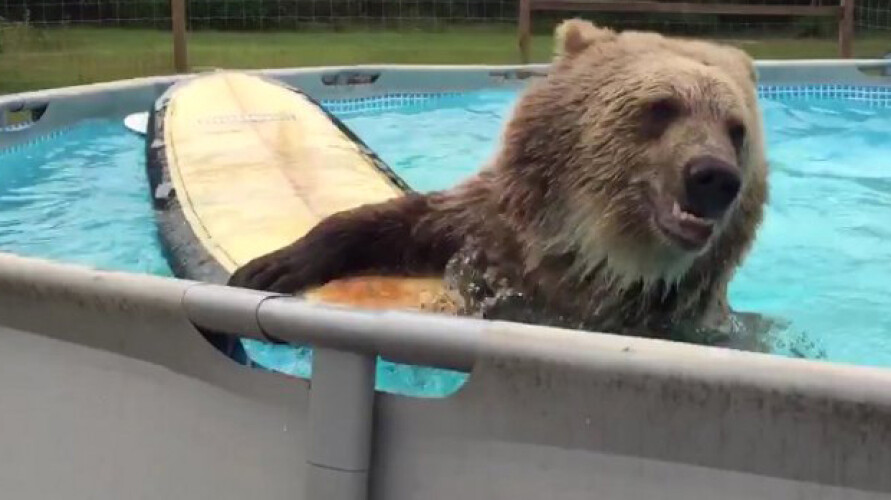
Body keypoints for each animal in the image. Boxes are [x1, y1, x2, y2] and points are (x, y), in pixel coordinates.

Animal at [230, 19, 772, 346]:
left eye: (736, 128)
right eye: (662, 107)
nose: (714, 177)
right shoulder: (490, 229)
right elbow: (402, 223)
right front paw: (270, 267)